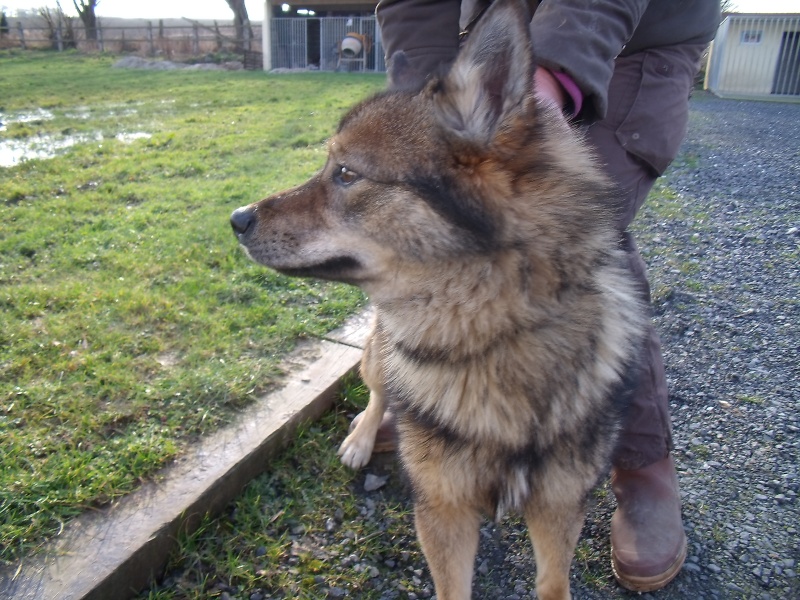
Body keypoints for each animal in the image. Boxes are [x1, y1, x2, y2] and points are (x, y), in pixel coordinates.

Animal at [228, 2, 648, 596]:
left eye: (346, 173)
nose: (236, 218)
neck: (491, 343)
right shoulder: (442, 508)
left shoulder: (560, 504)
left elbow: (553, 583)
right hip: (380, 357)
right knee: (379, 394)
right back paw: (363, 439)